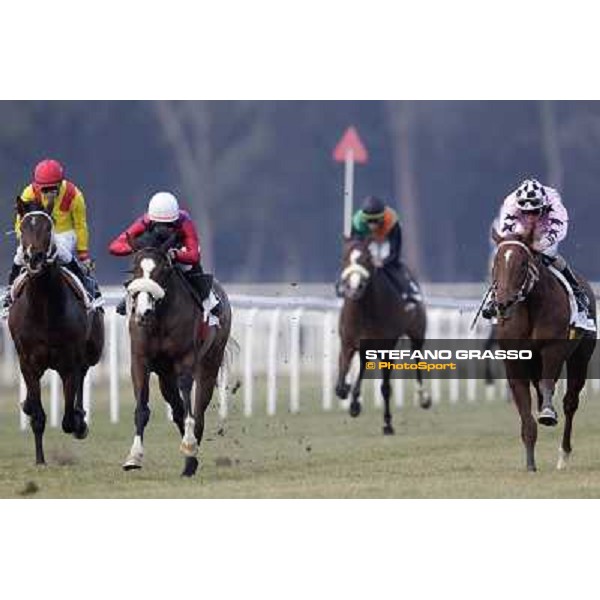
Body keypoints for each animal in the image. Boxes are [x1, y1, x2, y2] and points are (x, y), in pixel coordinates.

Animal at [8, 197, 104, 464]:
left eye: (47, 228)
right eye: (24, 228)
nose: (34, 257)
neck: (43, 308)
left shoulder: (69, 361)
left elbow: (68, 419)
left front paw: (79, 422)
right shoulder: (28, 361)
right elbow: (38, 416)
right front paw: (40, 459)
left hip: (92, 351)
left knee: (83, 373)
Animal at [121, 231, 232, 478]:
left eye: (163, 269)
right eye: (135, 268)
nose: (144, 312)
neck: (159, 319)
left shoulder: (185, 360)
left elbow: (189, 402)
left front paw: (190, 446)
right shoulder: (140, 360)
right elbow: (142, 408)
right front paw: (133, 456)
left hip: (210, 362)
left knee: (198, 409)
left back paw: (191, 458)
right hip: (164, 375)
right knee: (178, 409)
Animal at [332, 236, 432, 436]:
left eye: (367, 259)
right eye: (344, 258)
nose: (354, 287)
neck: (364, 310)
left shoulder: (387, 348)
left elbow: (385, 388)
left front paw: (387, 424)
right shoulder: (348, 343)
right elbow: (340, 384)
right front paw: (349, 394)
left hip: (416, 333)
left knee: (417, 359)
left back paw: (423, 396)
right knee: (363, 364)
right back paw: (354, 401)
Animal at [492, 232, 596, 472]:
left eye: (522, 263)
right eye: (496, 262)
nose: (502, 303)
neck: (529, 307)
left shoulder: (553, 350)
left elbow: (547, 384)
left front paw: (548, 413)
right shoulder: (515, 361)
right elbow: (525, 410)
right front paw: (530, 463)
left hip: (580, 358)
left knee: (570, 402)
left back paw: (563, 454)